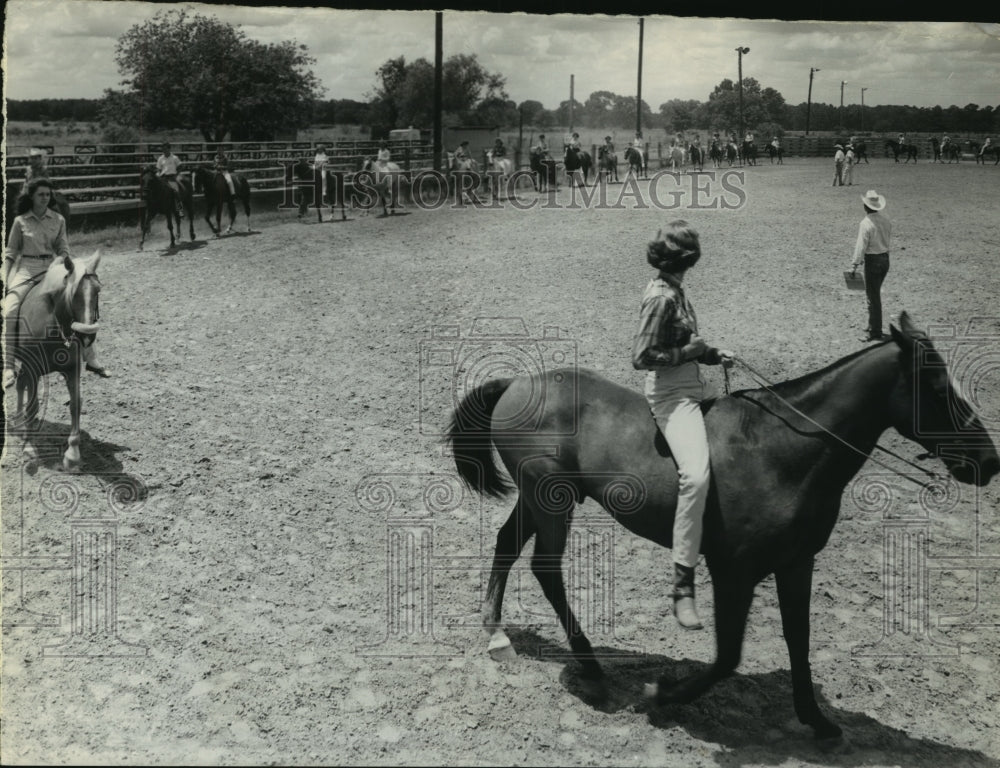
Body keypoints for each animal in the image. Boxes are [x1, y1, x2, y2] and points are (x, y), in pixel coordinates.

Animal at [8, 252, 103, 472]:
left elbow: (76, 404)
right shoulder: (33, 369)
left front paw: (72, 455)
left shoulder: (72, 370)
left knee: (20, 385)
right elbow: (32, 407)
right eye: (73, 294)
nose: (87, 336)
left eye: (98, 290)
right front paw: (29, 448)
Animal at [448, 314, 1000, 744]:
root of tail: (517, 384)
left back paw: (497, 634)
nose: (987, 461)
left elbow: (799, 638)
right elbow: (727, 657)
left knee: (506, 547)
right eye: (936, 388)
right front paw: (663, 694)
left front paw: (816, 720)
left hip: (536, 500)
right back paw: (590, 666)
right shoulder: (734, 571)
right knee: (546, 569)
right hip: (551, 503)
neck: (783, 450)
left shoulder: (797, 563)